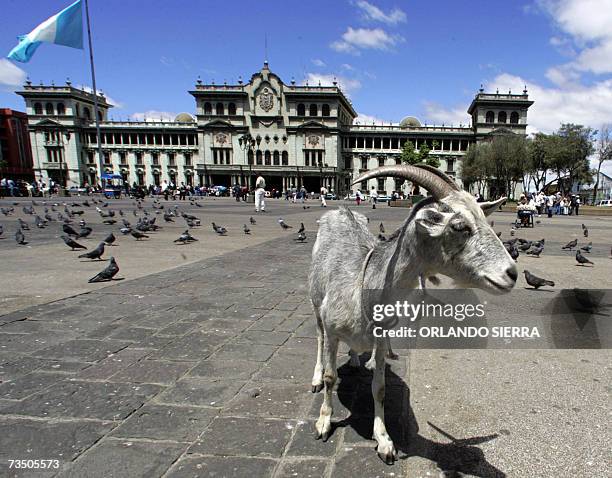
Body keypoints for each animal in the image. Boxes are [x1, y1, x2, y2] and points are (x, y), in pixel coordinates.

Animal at [308, 164, 512, 464]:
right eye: (459, 226)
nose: (512, 273)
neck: (363, 284)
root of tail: (341, 210)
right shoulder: (334, 332)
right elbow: (331, 377)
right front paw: (323, 423)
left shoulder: (381, 340)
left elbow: (379, 388)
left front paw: (384, 441)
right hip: (315, 303)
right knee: (319, 337)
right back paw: (315, 377)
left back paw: (357, 360)